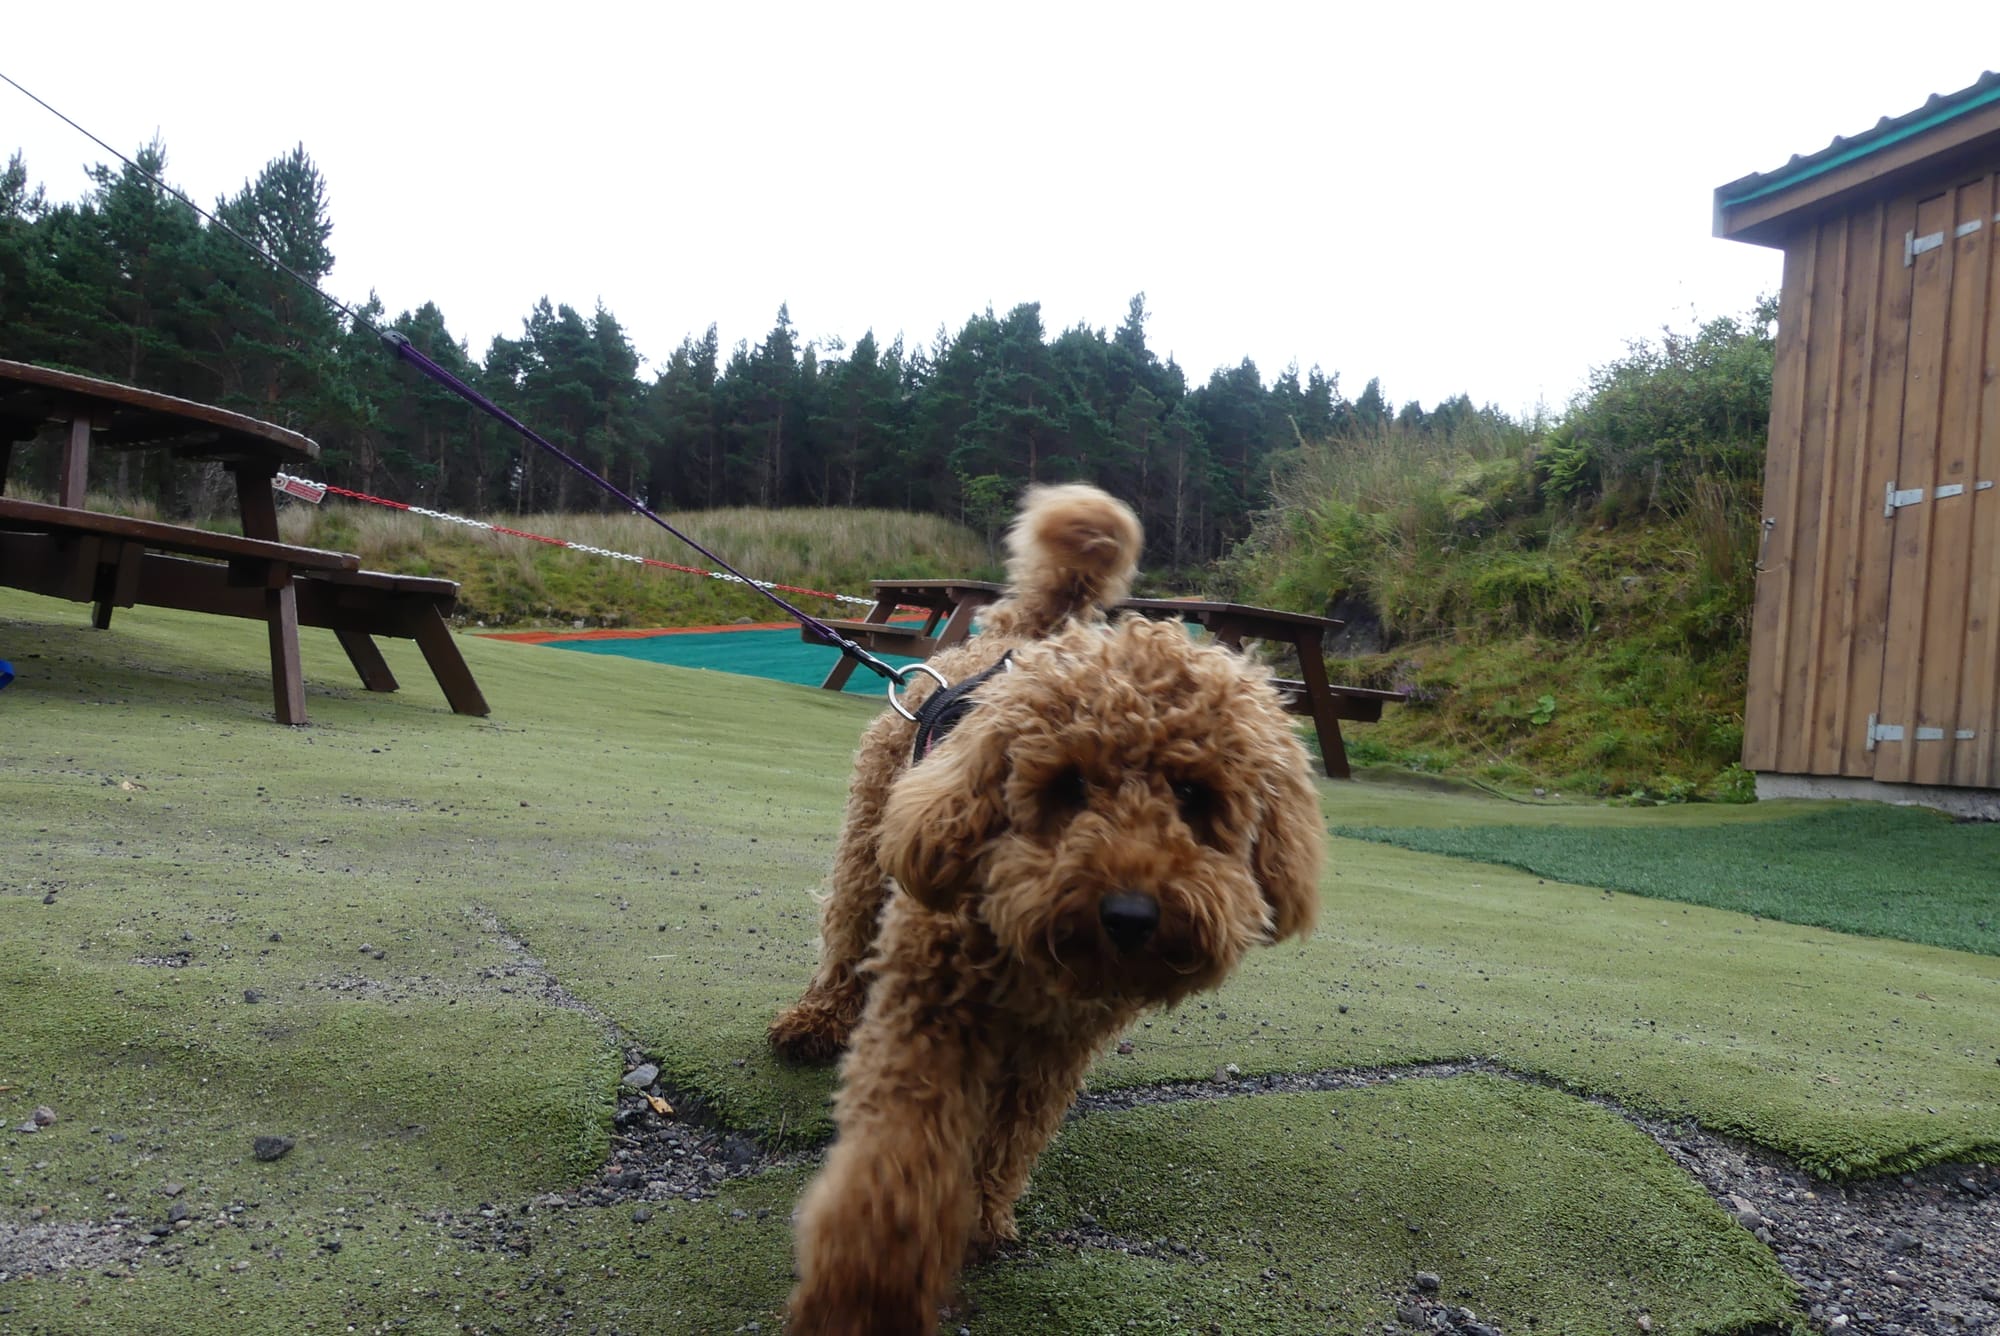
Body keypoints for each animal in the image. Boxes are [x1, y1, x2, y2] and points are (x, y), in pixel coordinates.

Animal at [772, 486, 1320, 1328]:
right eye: (1067, 786)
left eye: (1196, 796)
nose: (1129, 915)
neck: (1035, 954)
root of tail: (1007, 641)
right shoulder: (932, 1012)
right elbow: (902, 1156)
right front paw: (867, 1286)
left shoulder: (1058, 1045)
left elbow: (1011, 1134)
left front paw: (980, 1218)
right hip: (871, 846)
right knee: (845, 936)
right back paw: (813, 1021)